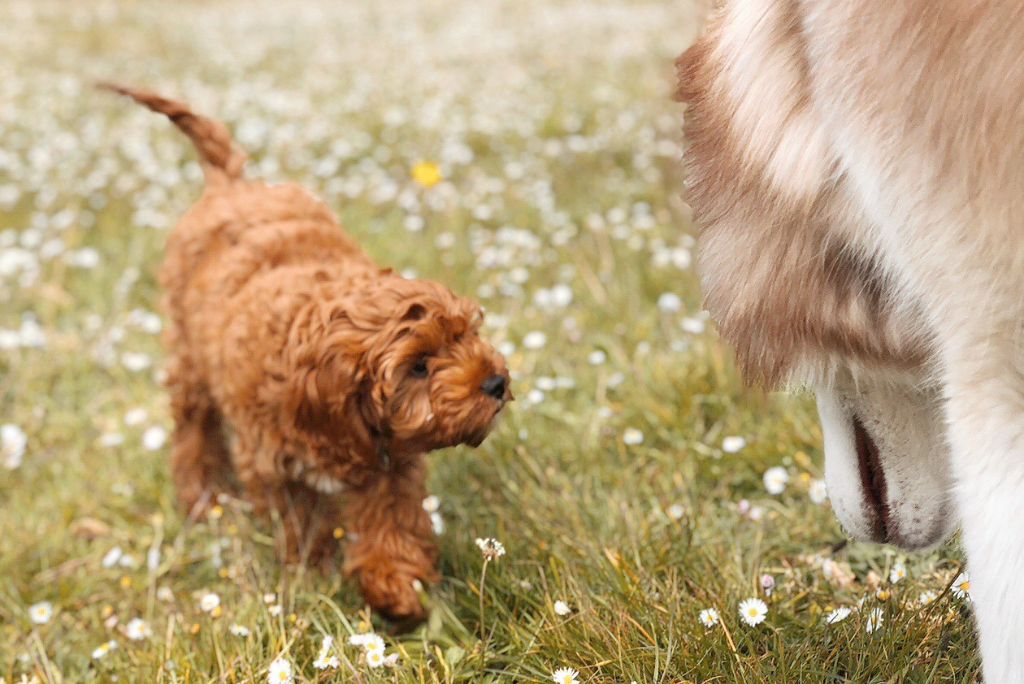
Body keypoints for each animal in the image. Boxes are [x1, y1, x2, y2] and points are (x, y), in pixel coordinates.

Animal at [103, 83, 512, 618]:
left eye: (467, 333)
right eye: (419, 367)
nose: (497, 381)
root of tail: (231, 185)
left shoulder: (390, 452)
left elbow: (391, 519)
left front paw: (395, 586)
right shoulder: (276, 463)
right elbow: (305, 520)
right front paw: (314, 575)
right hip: (187, 354)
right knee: (194, 430)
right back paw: (202, 499)